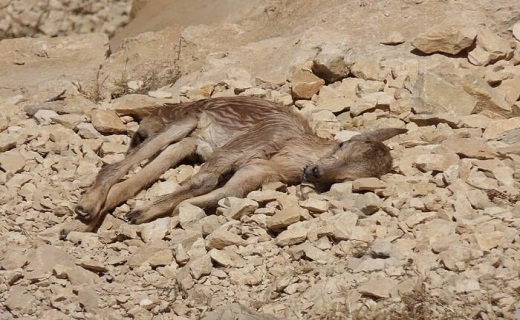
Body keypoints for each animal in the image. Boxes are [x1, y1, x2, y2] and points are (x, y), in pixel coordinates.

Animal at [71, 96, 404, 234]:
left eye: (348, 178)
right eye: (342, 146)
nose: (314, 172)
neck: (290, 151)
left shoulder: (255, 171)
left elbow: (225, 193)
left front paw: (160, 211)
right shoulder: (248, 145)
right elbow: (204, 181)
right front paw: (142, 213)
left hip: (188, 141)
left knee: (132, 178)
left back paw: (82, 223)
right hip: (185, 122)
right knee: (114, 166)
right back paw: (86, 207)